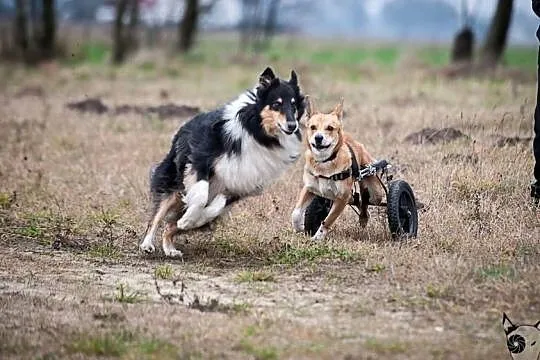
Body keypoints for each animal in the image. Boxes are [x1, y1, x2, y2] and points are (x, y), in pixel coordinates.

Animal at [140, 67, 304, 258]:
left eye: (294, 105)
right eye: (277, 104)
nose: (292, 126)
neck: (258, 134)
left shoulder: (240, 185)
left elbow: (214, 207)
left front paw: (189, 220)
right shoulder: (200, 160)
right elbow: (201, 196)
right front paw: (189, 217)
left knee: (170, 227)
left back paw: (170, 247)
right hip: (173, 181)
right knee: (157, 216)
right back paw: (147, 244)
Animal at [292, 97, 384, 240]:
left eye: (330, 128)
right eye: (312, 127)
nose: (318, 137)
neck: (325, 162)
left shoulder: (342, 198)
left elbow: (328, 220)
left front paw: (318, 237)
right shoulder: (309, 188)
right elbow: (295, 213)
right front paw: (300, 227)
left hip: (375, 192)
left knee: (365, 201)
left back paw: (364, 217)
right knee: (359, 200)